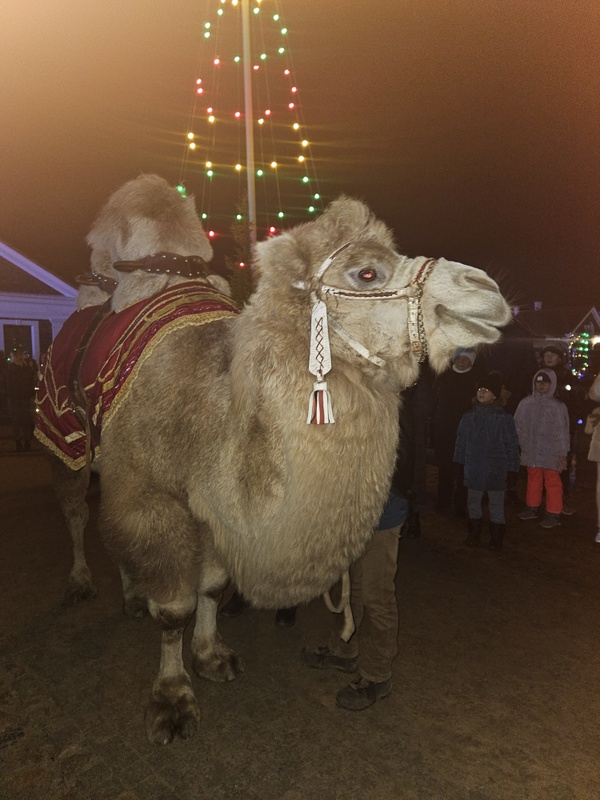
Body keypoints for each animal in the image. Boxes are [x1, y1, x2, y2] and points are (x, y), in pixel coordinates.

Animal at [36, 175, 511, 744]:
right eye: (366, 272)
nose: (487, 290)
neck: (220, 410)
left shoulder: (213, 504)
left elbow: (211, 587)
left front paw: (211, 656)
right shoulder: (159, 496)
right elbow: (173, 607)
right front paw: (172, 701)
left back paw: (130, 596)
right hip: (64, 439)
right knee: (77, 511)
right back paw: (81, 583)